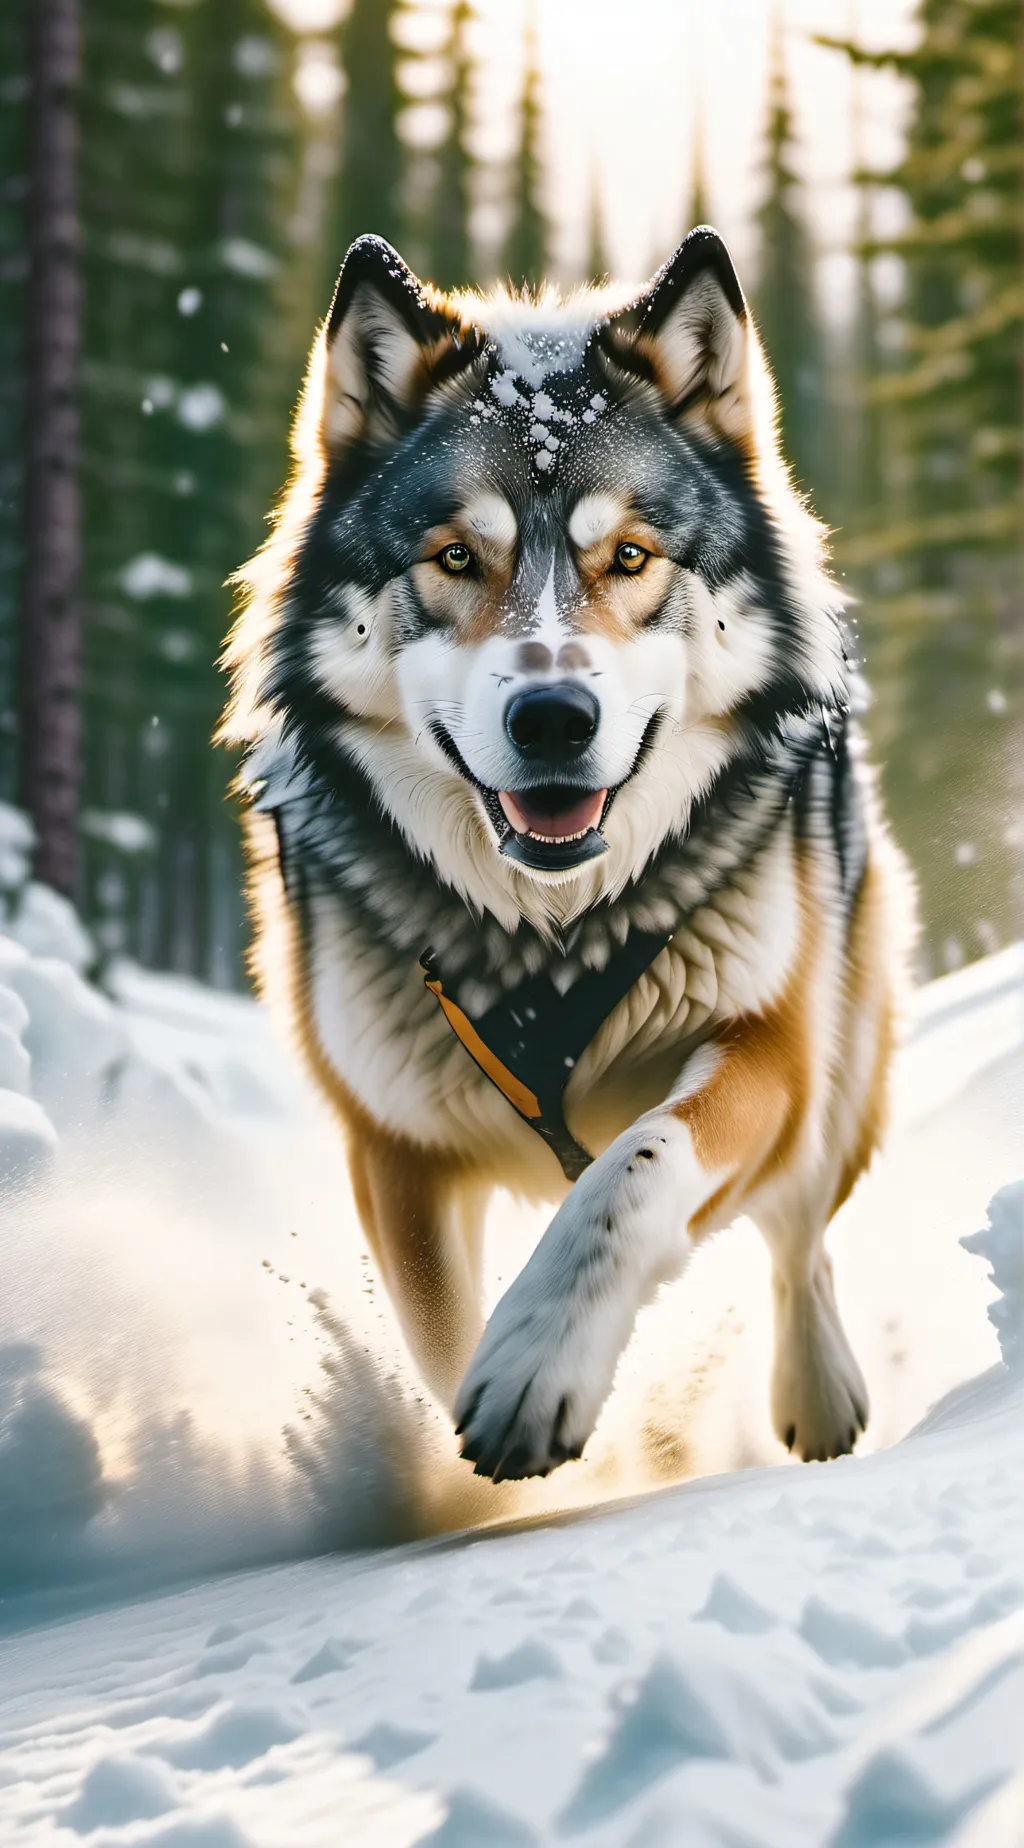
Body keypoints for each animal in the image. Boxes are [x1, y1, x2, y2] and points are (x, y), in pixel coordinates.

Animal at [221, 226, 914, 1482]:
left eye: (630, 556)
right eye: (455, 558)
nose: (552, 718)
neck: (548, 937)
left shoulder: (767, 1051)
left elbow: (630, 1170)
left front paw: (540, 1366)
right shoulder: (394, 1150)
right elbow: (436, 1334)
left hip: (840, 1065)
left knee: (799, 1236)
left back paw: (820, 1395)